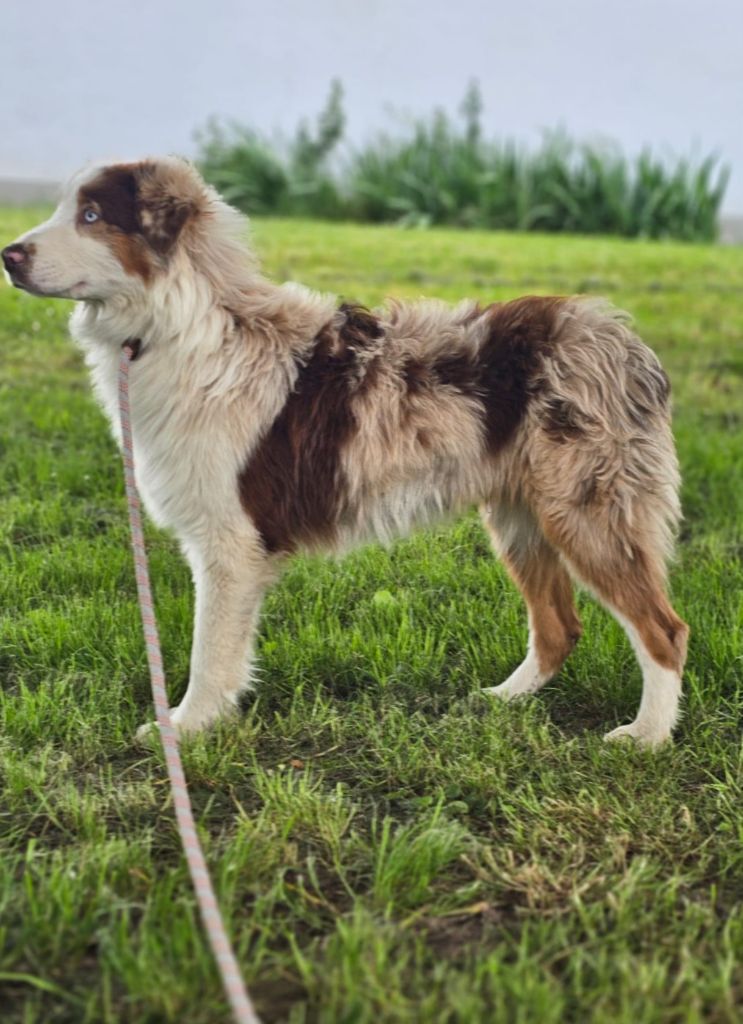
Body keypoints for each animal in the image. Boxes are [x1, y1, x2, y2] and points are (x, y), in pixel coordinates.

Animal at [0, 155, 687, 745]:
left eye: (92, 215)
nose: (8, 255)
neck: (184, 326)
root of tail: (619, 339)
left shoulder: (230, 543)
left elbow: (209, 652)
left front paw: (187, 729)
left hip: (587, 513)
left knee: (664, 631)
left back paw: (646, 737)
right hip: (522, 519)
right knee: (558, 628)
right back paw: (504, 699)